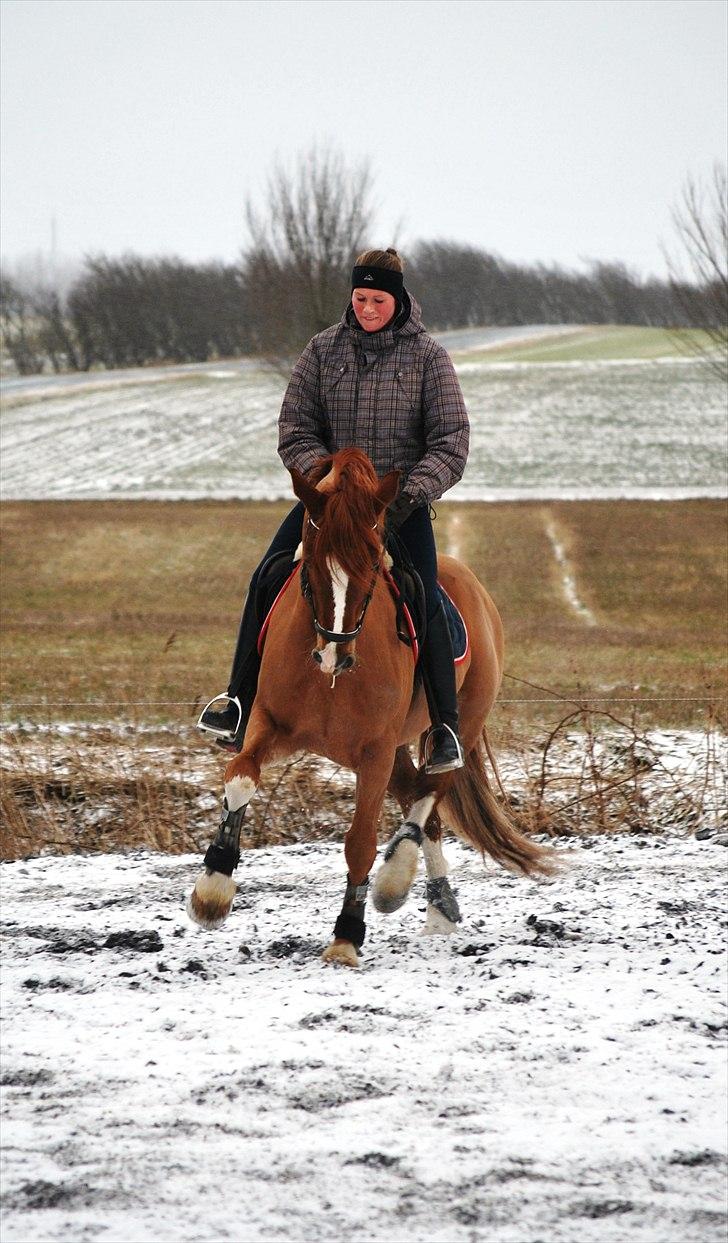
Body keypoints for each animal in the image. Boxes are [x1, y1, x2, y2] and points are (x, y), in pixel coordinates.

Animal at [187, 447, 549, 959]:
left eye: (374, 564)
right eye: (312, 566)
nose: (333, 655)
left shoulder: (374, 753)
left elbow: (361, 841)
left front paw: (346, 936)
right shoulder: (267, 724)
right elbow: (240, 779)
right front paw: (212, 890)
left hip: (462, 722)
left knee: (431, 790)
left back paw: (397, 881)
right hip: (397, 748)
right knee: (420, 801)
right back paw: (439, 908)